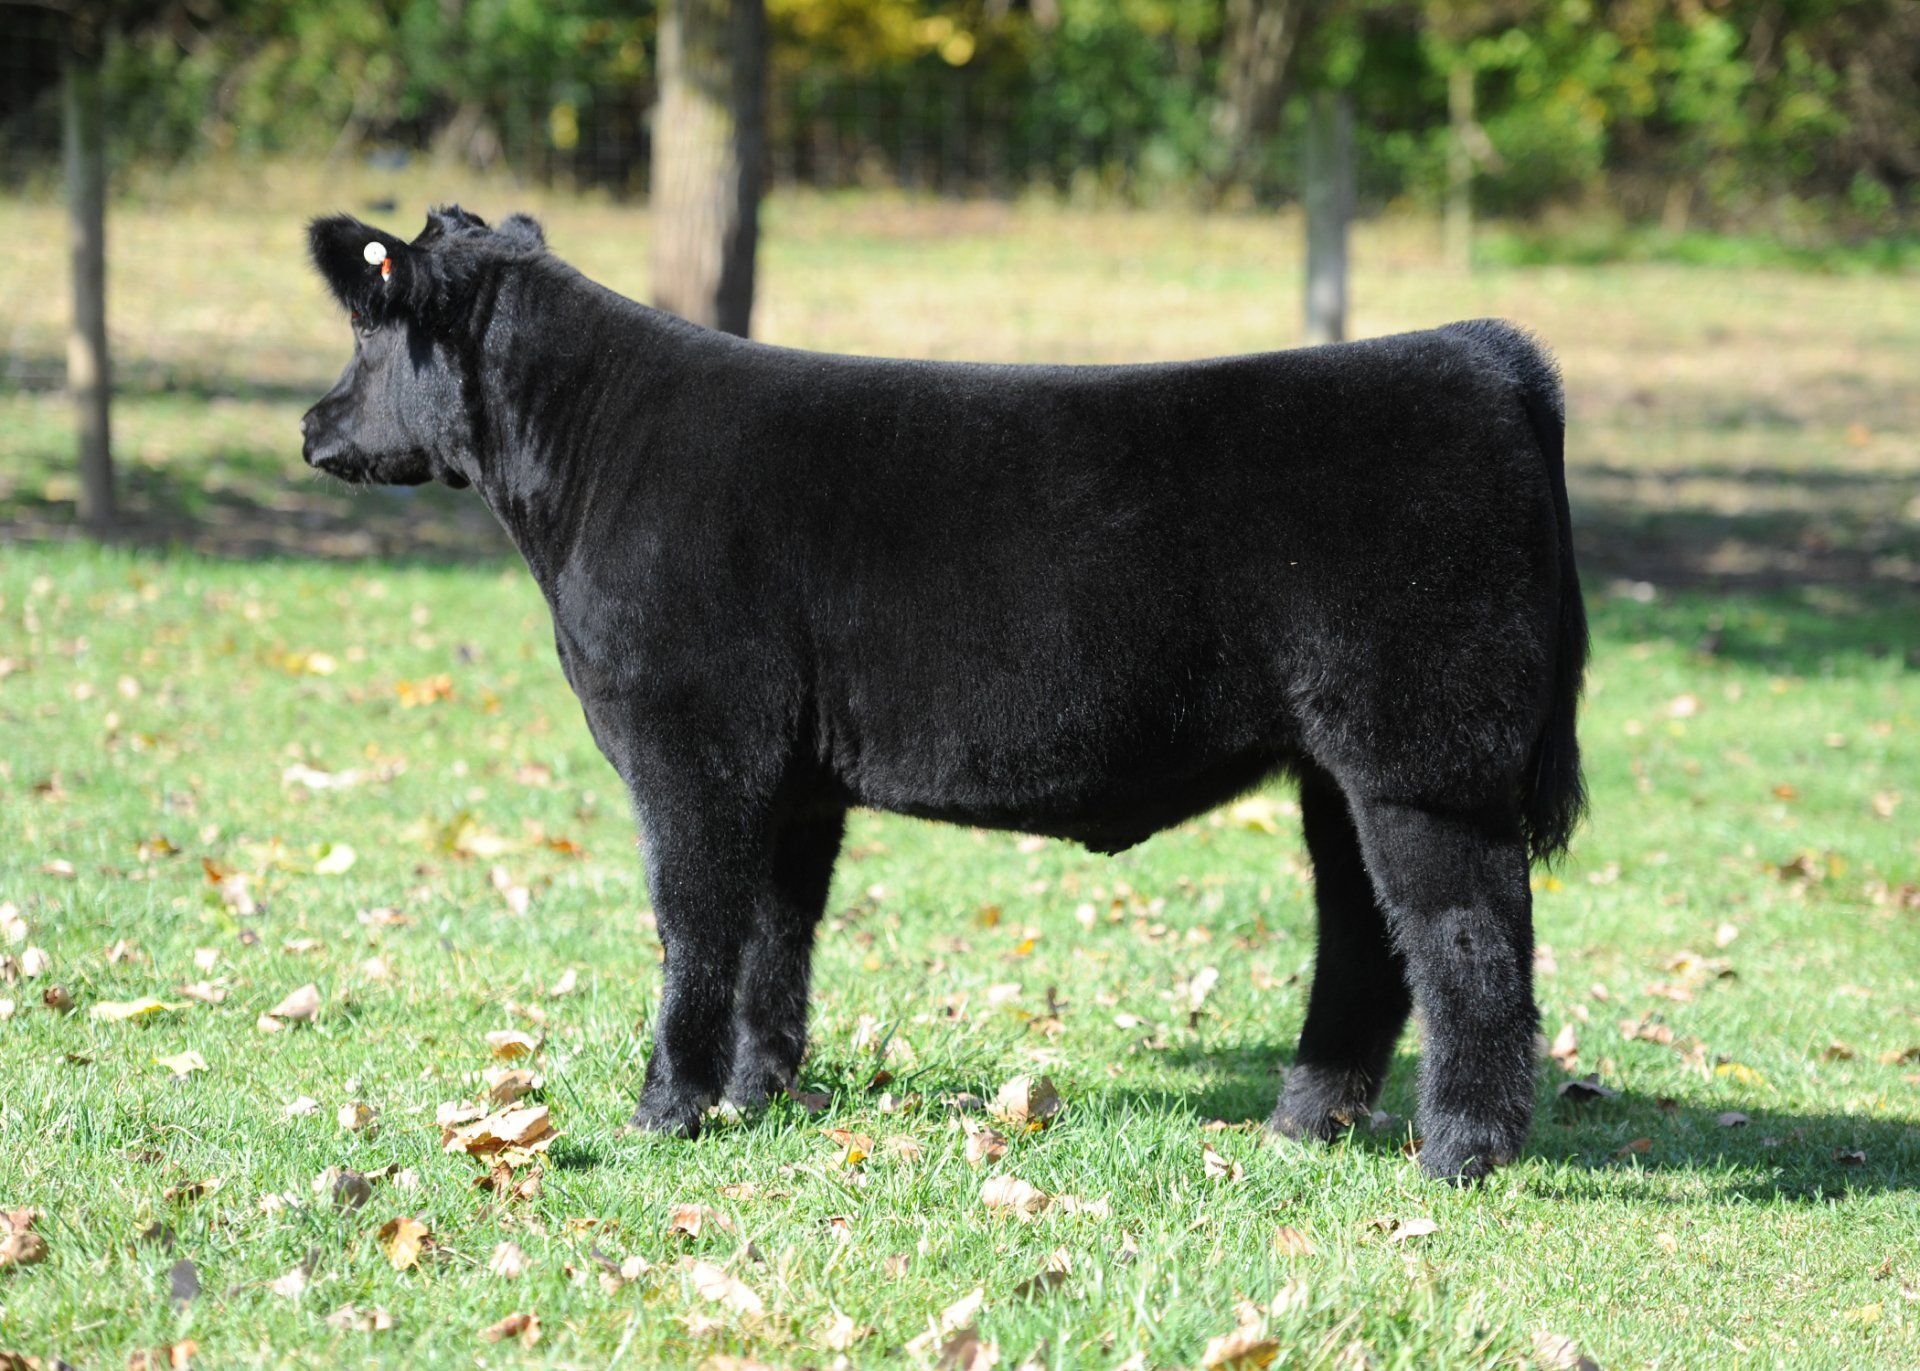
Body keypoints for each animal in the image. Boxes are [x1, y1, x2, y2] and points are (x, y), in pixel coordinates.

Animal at [302, 206, 1587, 1182]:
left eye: (366, 333)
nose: (312, 423)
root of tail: (1479, 352)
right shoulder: (792, 780)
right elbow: (775, 935)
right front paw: (760, 1093)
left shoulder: (691, 746)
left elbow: (695, 924)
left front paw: (667, 1107)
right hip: (1337, 767)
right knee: (1366, 939)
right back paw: (1303, 1122)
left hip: (1423, 762)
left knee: (1468, 943)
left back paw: (1461, 1153)